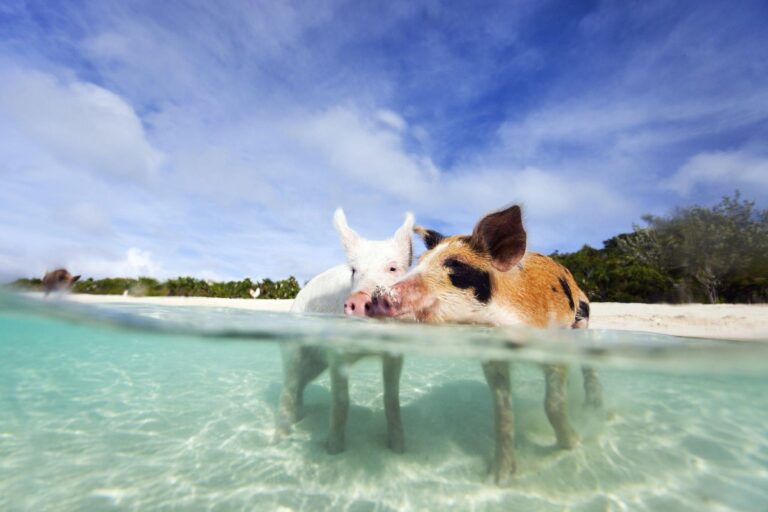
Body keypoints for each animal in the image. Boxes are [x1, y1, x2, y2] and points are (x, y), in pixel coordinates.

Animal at [276, 208, 414, 454]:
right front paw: (334, 450)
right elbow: (341, 401)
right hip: (294, 347)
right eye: (354, 271)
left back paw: (299, 418)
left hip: (316, 364)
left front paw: (399, 449)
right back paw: (280, 439)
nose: (358, 299)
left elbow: (391, 399)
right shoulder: (337, 353)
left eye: (393, 268)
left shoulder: (394, 353)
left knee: (300, 384)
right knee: (288, 387)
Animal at [368, 205, 603, 484]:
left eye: (456, 266)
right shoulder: (493, 359)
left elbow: (553, 404)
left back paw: (593, 408)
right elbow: (503, 413)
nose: (376, 296)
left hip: (583, 319)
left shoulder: (554, 346)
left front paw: (572, 445)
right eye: (420, 261)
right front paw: (498, 479)